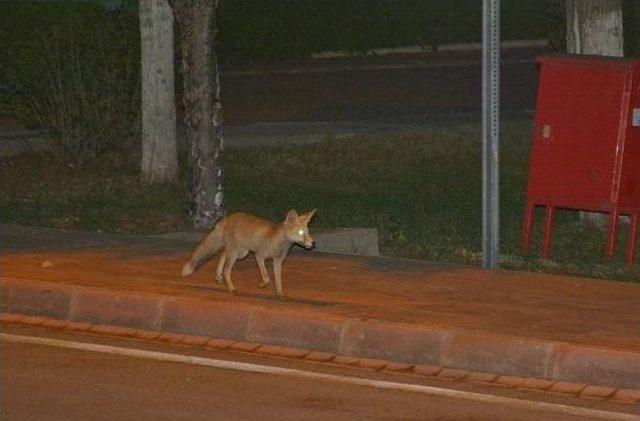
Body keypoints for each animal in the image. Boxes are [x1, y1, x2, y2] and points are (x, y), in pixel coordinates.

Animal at [181, 208, 316, 296]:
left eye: (307, 232)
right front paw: (261, 285)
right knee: (226, 270)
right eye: (300, 233)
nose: (313, 243)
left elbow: (278, 281)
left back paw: (218, 277)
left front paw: (279, 294)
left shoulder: (277, 262)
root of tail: (228, 217)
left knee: (223, 255)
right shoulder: (259, 256)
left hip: (240, 253)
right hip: (236, 253)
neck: (279, 243)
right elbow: (267, 278)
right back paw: (231, 289)